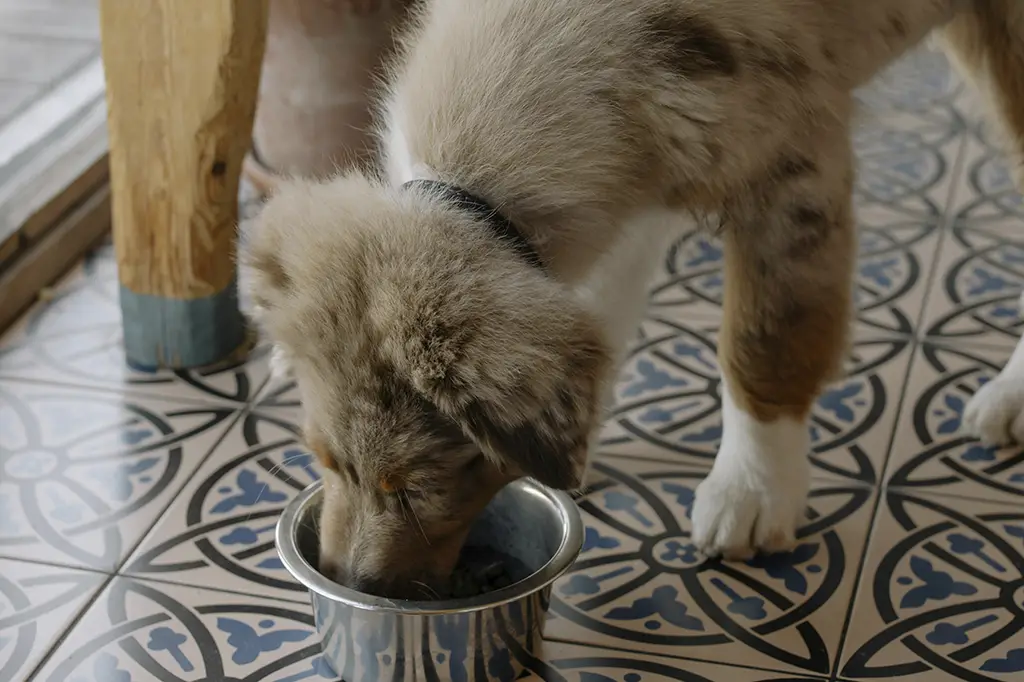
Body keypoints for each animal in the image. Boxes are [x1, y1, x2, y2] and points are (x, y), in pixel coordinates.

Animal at [239, 0, 1024, 593]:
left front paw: (752, 491)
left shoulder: (792, 166)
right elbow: (600, 310)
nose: (348, 580)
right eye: (323, 459)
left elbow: (763, 341)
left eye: (413, 486)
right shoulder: (641, 178)